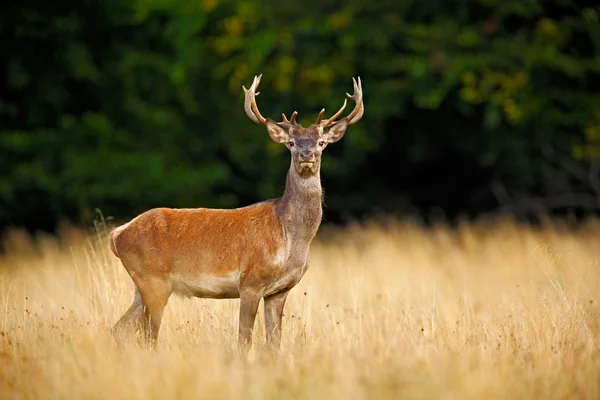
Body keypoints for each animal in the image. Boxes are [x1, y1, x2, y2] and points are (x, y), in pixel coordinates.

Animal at [109, 73, 364, 352]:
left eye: (321, 142)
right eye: (291, 143)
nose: (306, 155)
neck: (290, 238)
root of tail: (117, 234)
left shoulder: (280, 291)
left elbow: (274, 344)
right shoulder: (250, 282)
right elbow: (244, 340)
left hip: (141, 286)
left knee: (119, 329)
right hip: (153, 280)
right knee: (148, 336)